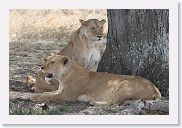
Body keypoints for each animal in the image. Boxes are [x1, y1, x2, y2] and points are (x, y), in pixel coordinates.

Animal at [32, 54, 161, 105]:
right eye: (46, 60)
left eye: (52, 62)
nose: (41, 67)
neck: (63, 77)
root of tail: (155, 89)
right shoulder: (60, 91)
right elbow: (47, 93)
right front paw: (35, 94)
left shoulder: (67, 96)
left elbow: (49, 96)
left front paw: (35, 97)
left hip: (123, 85)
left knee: (114, 102)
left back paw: (93, 102)